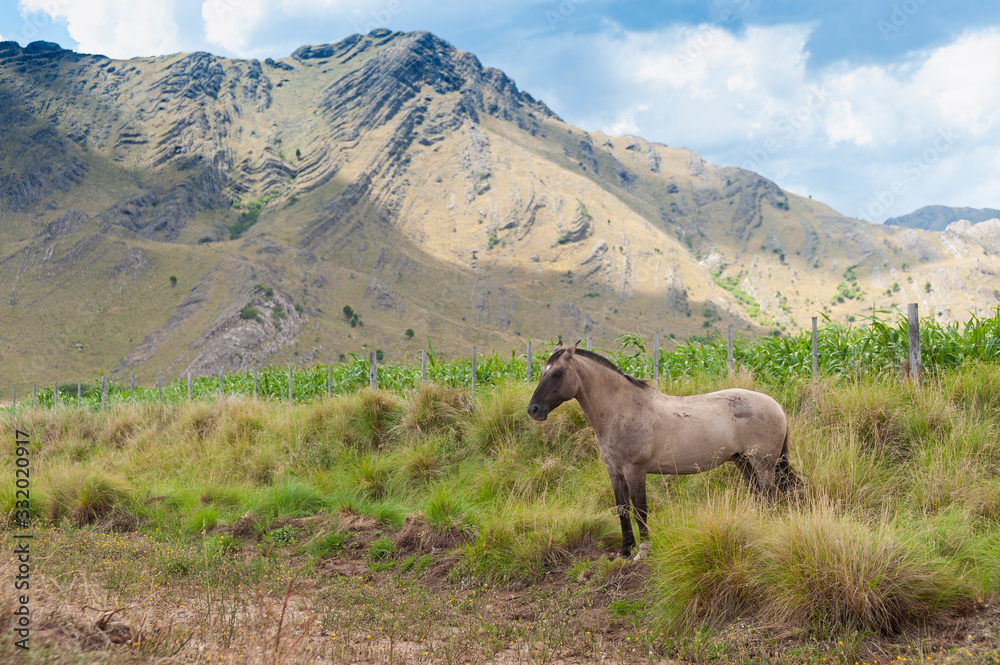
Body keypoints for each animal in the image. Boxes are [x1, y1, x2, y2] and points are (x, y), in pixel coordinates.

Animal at [527, 342, 798, 560]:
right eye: (541, 372)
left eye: (558, 373)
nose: (534, 410)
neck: (622, 410)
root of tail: (777, 406)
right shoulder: (614, 472)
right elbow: (622, 509)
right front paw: (624, 552)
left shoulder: (635, 471)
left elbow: (640, 509)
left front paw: (643, 551)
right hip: (743, 462)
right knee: (758, 496)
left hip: (763, 464)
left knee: (769, 496)